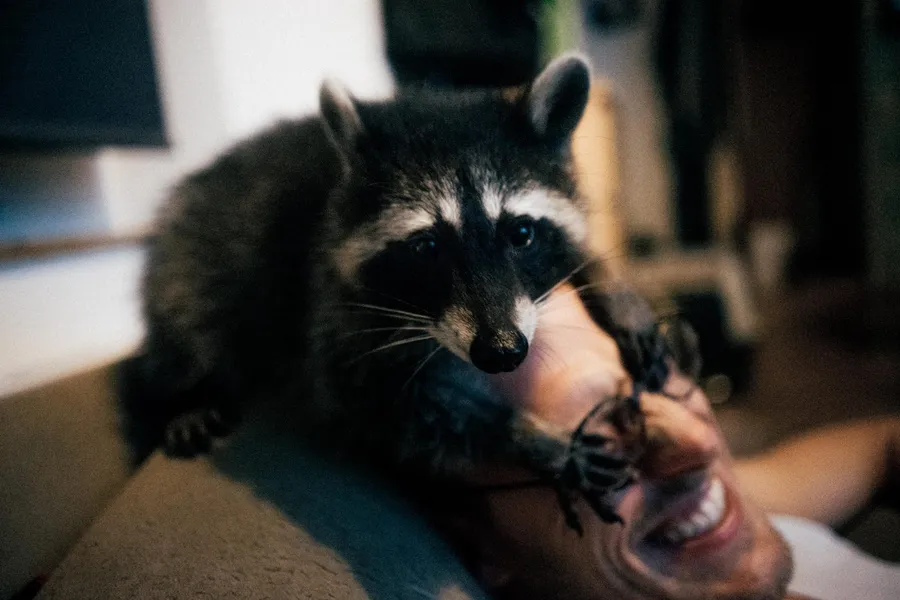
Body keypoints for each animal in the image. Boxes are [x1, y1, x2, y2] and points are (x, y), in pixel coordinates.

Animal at [139, 54, 692, 522]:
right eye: (426, 248)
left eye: (521, 234)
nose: (502, 352)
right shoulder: (334, 309)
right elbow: (388, 405)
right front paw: (529, 439)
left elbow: (577, 252)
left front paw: (617, 291)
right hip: (189, 258)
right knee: (192, 322)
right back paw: (185, 395)